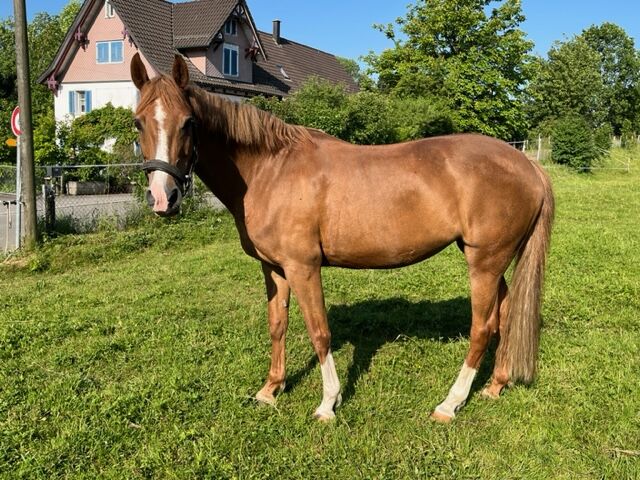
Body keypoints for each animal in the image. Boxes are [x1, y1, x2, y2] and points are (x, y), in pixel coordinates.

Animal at [132, 54, 552, 422]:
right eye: (138, 123)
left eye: (188, 122)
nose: (163, 197)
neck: (270, 169)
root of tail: (527, 165)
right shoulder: (274, 269)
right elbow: (277, 325)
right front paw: (270, 390)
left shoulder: (303, 268)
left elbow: (319, 332)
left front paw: (327, 404)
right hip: (491, 262)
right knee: (506, 314)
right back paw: (495, 385)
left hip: (484, 263)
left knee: (482, 328)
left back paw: (450, 404)